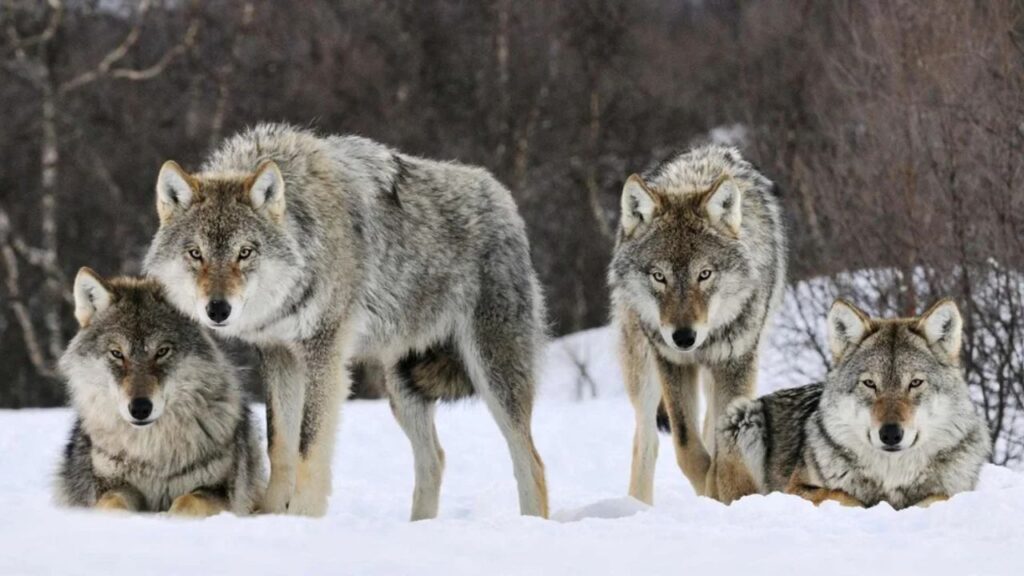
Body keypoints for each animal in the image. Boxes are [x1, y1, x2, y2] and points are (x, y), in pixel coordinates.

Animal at [56, 269, 265, 516]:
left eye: (162, 351)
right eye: (117, 353)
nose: (140, 408)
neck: (152, 453)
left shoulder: (218, 491)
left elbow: (186, 503)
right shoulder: (112, 485)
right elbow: (112, 504)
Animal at [144, 123, 548, 519]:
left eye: (245, 252)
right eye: (195, 253)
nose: (218, 310)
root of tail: (503, 197)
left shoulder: (324, 354)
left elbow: (309, 446)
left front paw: (302, 517)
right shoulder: (279, 355)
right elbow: (280, 444)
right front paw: (271, 515)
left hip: (493, 374)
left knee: (531, 462)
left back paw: (531, 523)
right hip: (402, 388)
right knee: (435, 459)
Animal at [608, 145, 787, 503]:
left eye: (704, 274)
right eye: (659, 276)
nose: (684, 337)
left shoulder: (736, 362)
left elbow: (722, 446)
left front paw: (723, 493)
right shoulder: (672, 362)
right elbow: (687, 446)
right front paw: (709, 489)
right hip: (643, 369)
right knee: (646, 441)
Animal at [717, 299, 991, 508]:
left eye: (915, 383)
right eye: (870, 384)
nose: (890, 434)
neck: (891, 476)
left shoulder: (955, 491)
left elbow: (937, 497)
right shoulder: (795, 488)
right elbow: (843, 495)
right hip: (742, 416)